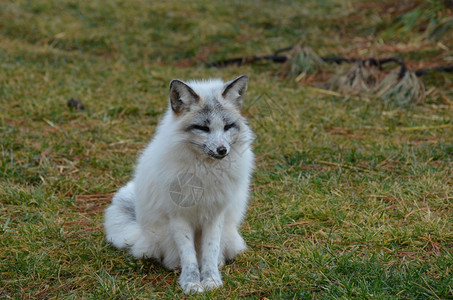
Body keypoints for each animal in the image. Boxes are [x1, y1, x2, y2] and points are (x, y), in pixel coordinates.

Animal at [105, 74, 254, 292]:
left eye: (227, 126)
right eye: (203, 128)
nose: (222, 150)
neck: (203, 173)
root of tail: (141, 233)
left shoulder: (215, 214)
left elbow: (210, 251)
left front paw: (211, 280)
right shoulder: (178, 215)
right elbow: (188, 255)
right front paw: (192, 283)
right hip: (161, 236)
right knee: (170, 258)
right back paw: (175, 267)